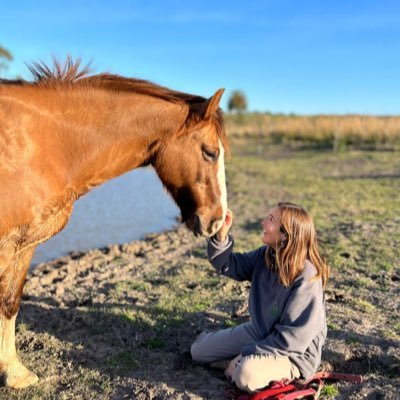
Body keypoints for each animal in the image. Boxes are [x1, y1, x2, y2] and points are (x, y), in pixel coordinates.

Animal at [0, 57, 228, 390]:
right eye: (210, 153)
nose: (217, 220)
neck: (47, 142)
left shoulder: (23, 244)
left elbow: (9, 301)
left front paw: (15, 373)